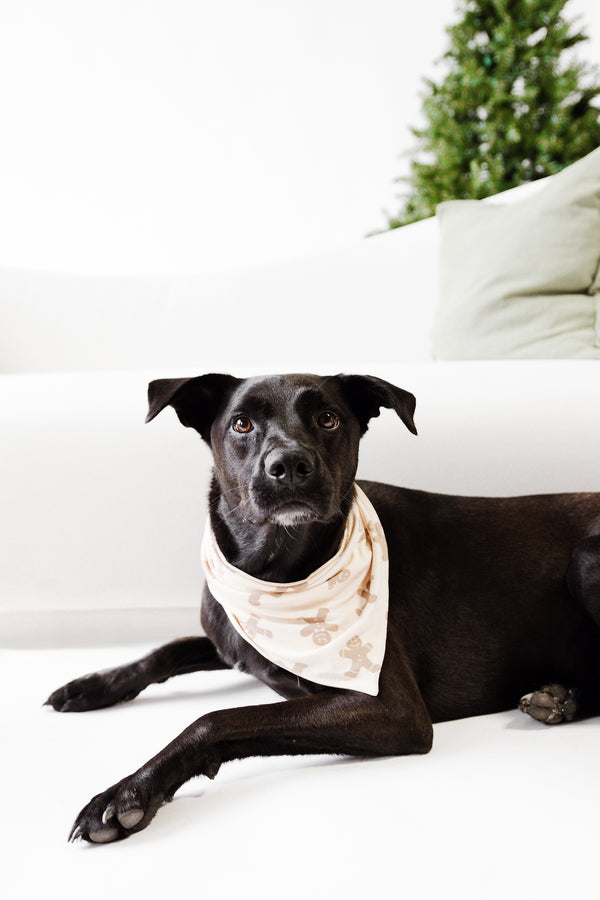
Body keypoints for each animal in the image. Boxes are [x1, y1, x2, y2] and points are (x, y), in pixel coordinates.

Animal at [45, 372, 600, 844]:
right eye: (241, 424)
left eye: (329, 419)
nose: (289, 466)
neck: (276, 571)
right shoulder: (231, 637)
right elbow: (167, 650)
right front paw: (91, 685)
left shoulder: (393, 710)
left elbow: (219, 718)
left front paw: (130, 792)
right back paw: (561, 700)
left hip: (586, 558)